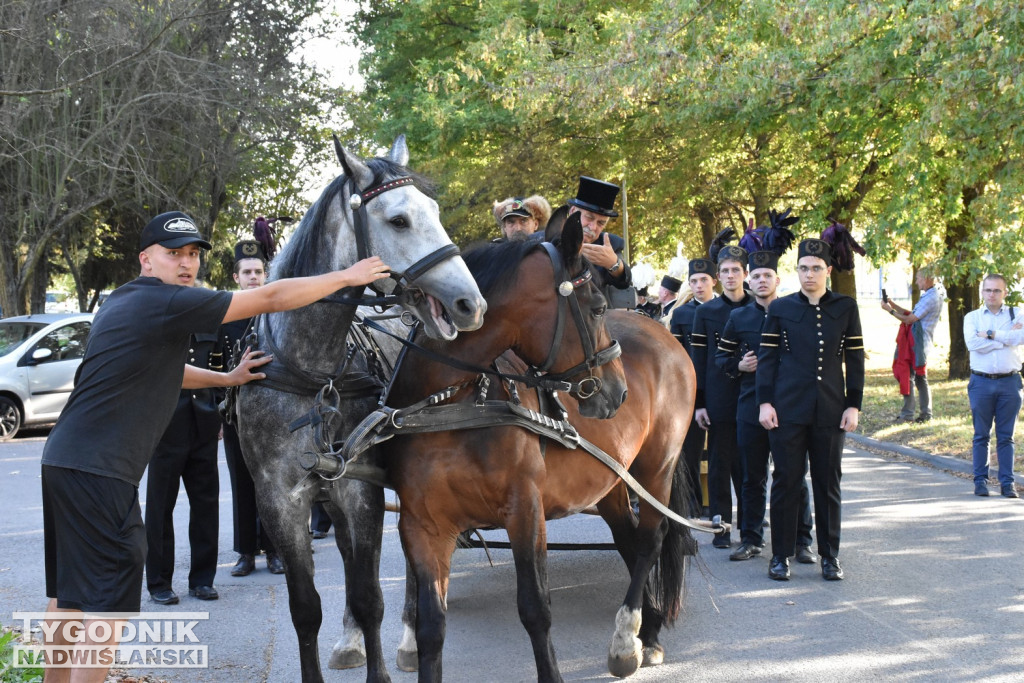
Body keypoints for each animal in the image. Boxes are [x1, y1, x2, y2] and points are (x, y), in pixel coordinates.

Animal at [235, 136, 483, 679]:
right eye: (399, 220)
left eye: (434, 210)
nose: (471, 303)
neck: (311, 371)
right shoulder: (281, 500)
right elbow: (306, 608)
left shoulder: (359, 491)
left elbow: (371, 596)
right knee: (351, 558)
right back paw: (350, 639)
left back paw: (409, 637)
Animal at [380, 216, 700, 679]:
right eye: (596, 308)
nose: (618, 391)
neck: (451, 404)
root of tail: (659, 330)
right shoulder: (423, 525)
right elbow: (430, 625)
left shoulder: (525, 511)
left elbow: (534, 608)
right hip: (611, 478)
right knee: (628, 537)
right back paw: (649, 626)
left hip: (656, 466)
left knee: (650, 538)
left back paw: (628, 637)